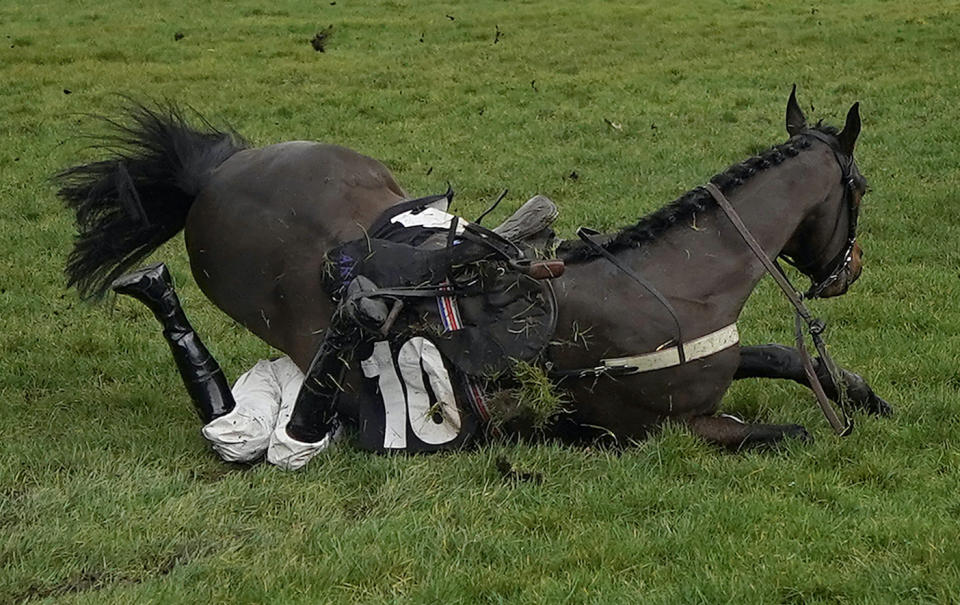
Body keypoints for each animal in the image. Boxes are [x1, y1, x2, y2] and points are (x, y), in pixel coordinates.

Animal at [56, 87, 888, 450]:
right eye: (862, 187)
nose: (846, 269)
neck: (670, 281)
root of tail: (211, 177)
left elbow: (786, 357)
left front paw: (866, 394)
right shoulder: (671, 429)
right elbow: (787, 430)